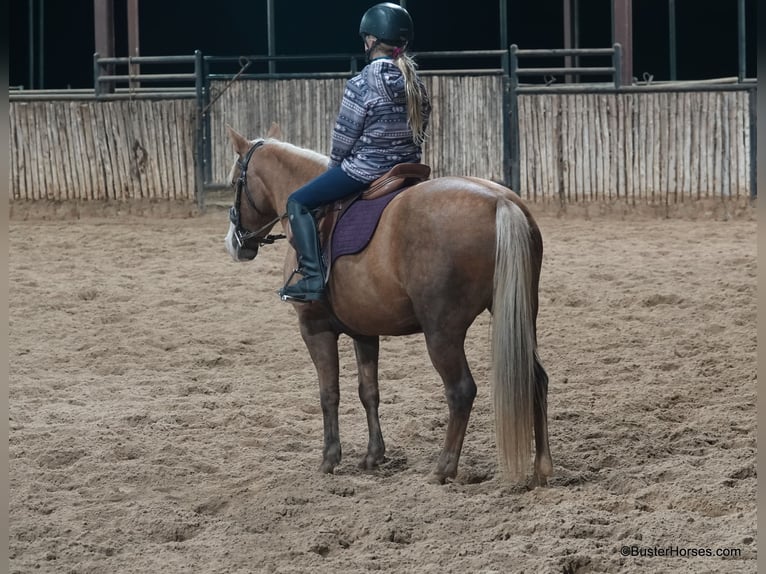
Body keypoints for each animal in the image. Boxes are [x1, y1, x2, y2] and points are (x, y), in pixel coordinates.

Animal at [222, 125, 552, 486]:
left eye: (235, 181)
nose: (234, 243)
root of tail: (499, 200)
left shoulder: (314, 328)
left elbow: (329, 392)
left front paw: (329, 459)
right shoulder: (364, 331)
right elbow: (369, 390)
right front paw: (373, 456)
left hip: (442, 332)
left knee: (461, 391)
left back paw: (443, 468)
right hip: (523, 315)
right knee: (536, 378)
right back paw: (542, 466)